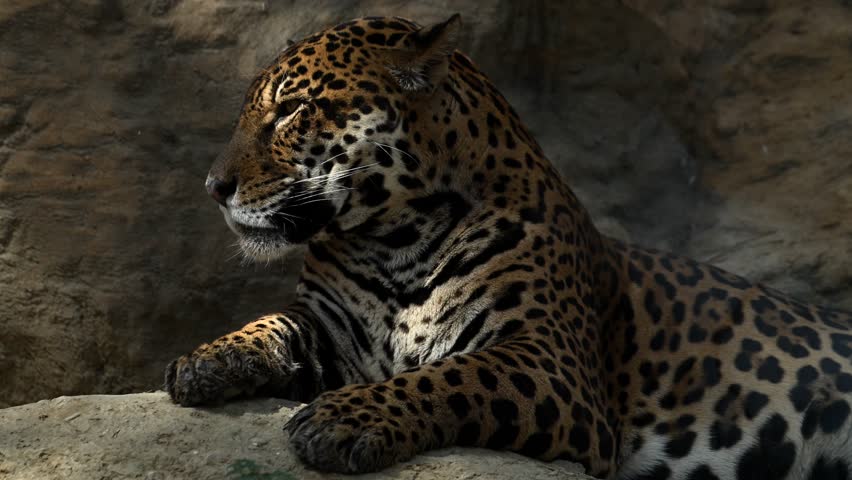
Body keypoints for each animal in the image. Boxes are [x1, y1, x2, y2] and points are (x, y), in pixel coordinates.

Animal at [164, 14, 852, 480]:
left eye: (293, 111)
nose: (214, 187)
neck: (391, 241)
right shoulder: (329, 327)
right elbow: (272, 322)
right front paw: (206, 359)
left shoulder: (550, 361)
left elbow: (452, 376)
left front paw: (345, 418)